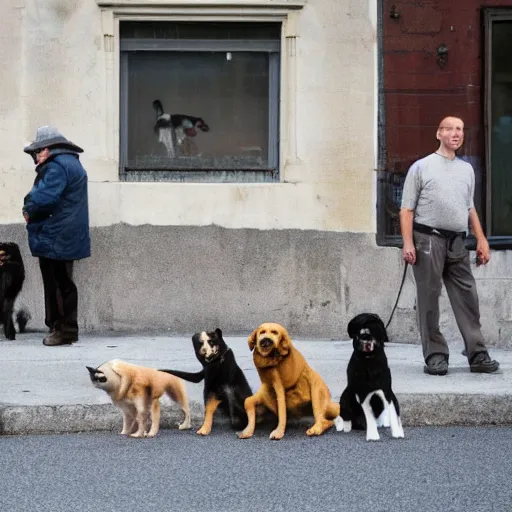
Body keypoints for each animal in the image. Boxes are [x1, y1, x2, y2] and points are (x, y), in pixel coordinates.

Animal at [336, 312, 404, 440]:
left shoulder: (386, 391)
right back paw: (344, 426)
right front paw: (373, 435)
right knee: (346, 416)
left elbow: (392, 412)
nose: (365, 339)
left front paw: (397, 432)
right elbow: (369, 416)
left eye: (374, 329)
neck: (369, 361)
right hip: (345, 396)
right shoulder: (363, 393)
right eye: (357, 333)